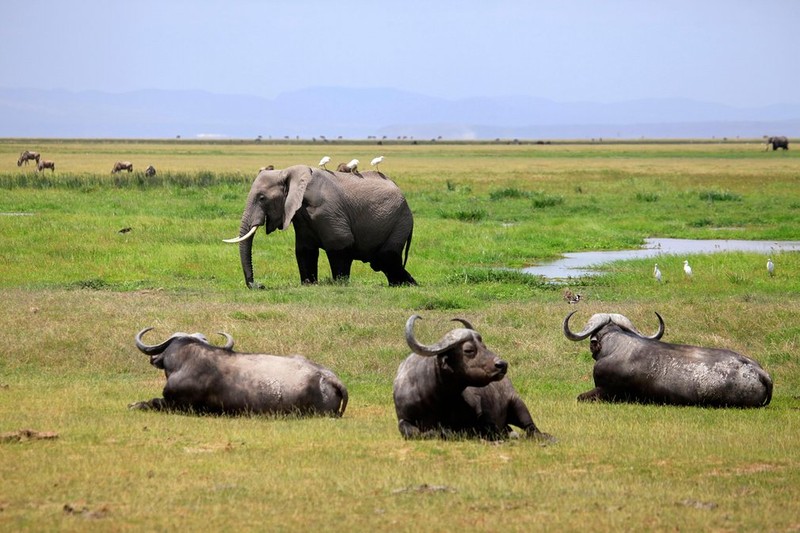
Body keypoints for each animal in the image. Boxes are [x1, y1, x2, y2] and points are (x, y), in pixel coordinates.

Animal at [222, 164, 416, 288]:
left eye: (262, 198)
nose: (259, 285)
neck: (288, 172)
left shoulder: (326, 210)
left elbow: (340, 243)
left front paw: (340, 284)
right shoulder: (301, 216)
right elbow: (304, 250)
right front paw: (309, 284)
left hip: (400, 221)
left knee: (386, 258)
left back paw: (406, 285)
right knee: (383, 263)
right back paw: (407, 284)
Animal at [392, 314, 552, 438]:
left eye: (484, 346)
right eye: (469, 350)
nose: (502, 364)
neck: (435, 398)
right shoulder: (403, 419)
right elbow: (418, 432)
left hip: (517, 403)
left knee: (531, 428)